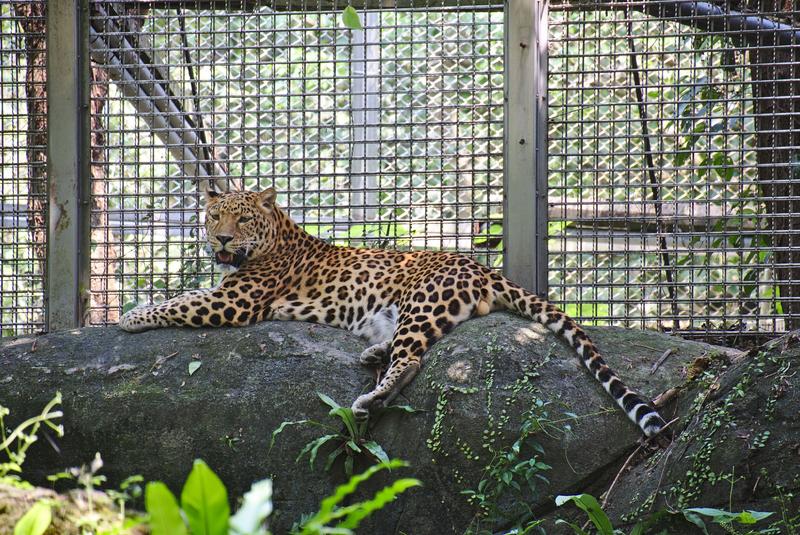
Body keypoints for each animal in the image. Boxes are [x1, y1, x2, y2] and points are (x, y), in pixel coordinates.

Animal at [119, 186, 664, 438]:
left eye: (243, 218)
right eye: (214, 216)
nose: (222, 240)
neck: (274, 236)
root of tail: (481, 265)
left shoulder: (233, 301)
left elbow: (180, 301)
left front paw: (129, 317)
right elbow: (185, 293)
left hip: (422, 302)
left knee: (413, 360)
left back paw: (371, 398)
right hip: (401, 313)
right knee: (405, 347)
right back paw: (372, 355)